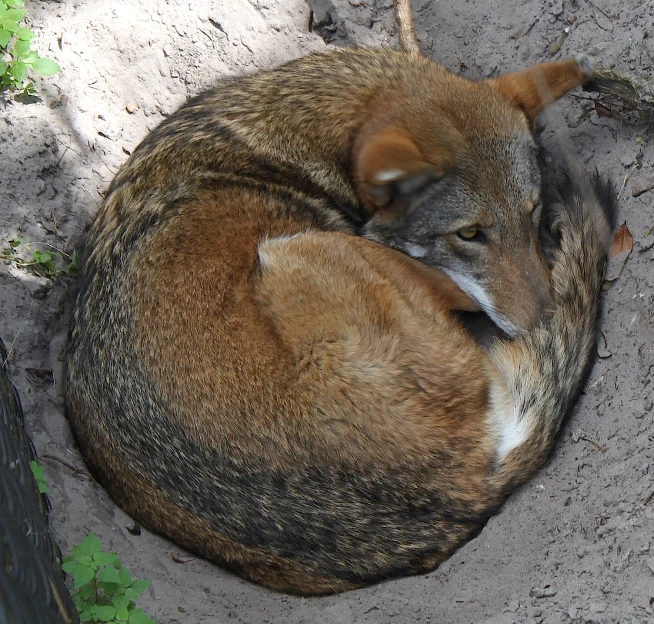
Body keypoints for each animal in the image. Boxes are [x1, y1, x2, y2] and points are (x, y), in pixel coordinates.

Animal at [66, 48, 620, 596]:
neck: (278, 145)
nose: (544, 315)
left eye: (531, 211)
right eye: (470, 234)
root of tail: (465, 490)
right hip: (290, 248)